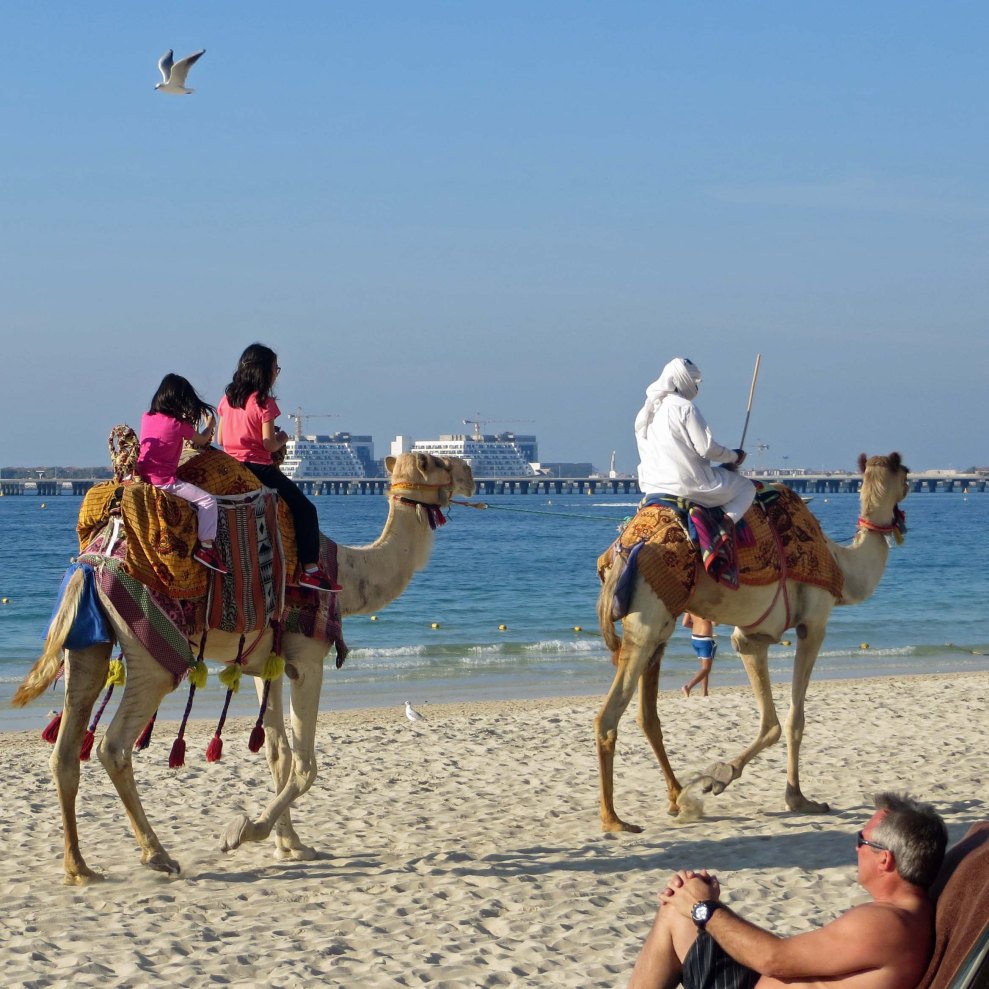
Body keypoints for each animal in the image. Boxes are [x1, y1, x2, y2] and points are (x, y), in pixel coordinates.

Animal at [14, 451, 474, 883]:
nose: (469, 472)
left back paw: (79, 868)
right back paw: (157, 855)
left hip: (88, 643)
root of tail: (90, 565)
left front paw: (292, 845)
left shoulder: (264, 665)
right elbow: (306, 765)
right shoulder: (308, 658)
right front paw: (244, 832)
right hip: (150, 652)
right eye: (435, 461)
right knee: (113, 745)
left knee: (65, 750)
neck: (346, 574)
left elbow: (278, 754)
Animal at [594, 452, 908, 833]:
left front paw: (722, 777)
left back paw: (677, 797)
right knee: (609, 716)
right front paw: (796, 798)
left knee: (647, 716)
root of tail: (622, 553)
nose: (906, 498)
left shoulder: (752, 638)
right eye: (907, 475)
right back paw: (614, 820)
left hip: (660, 624)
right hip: (647, 621)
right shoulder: (814, 624)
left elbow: (771, 722)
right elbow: (793, 720)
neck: (842, 567)